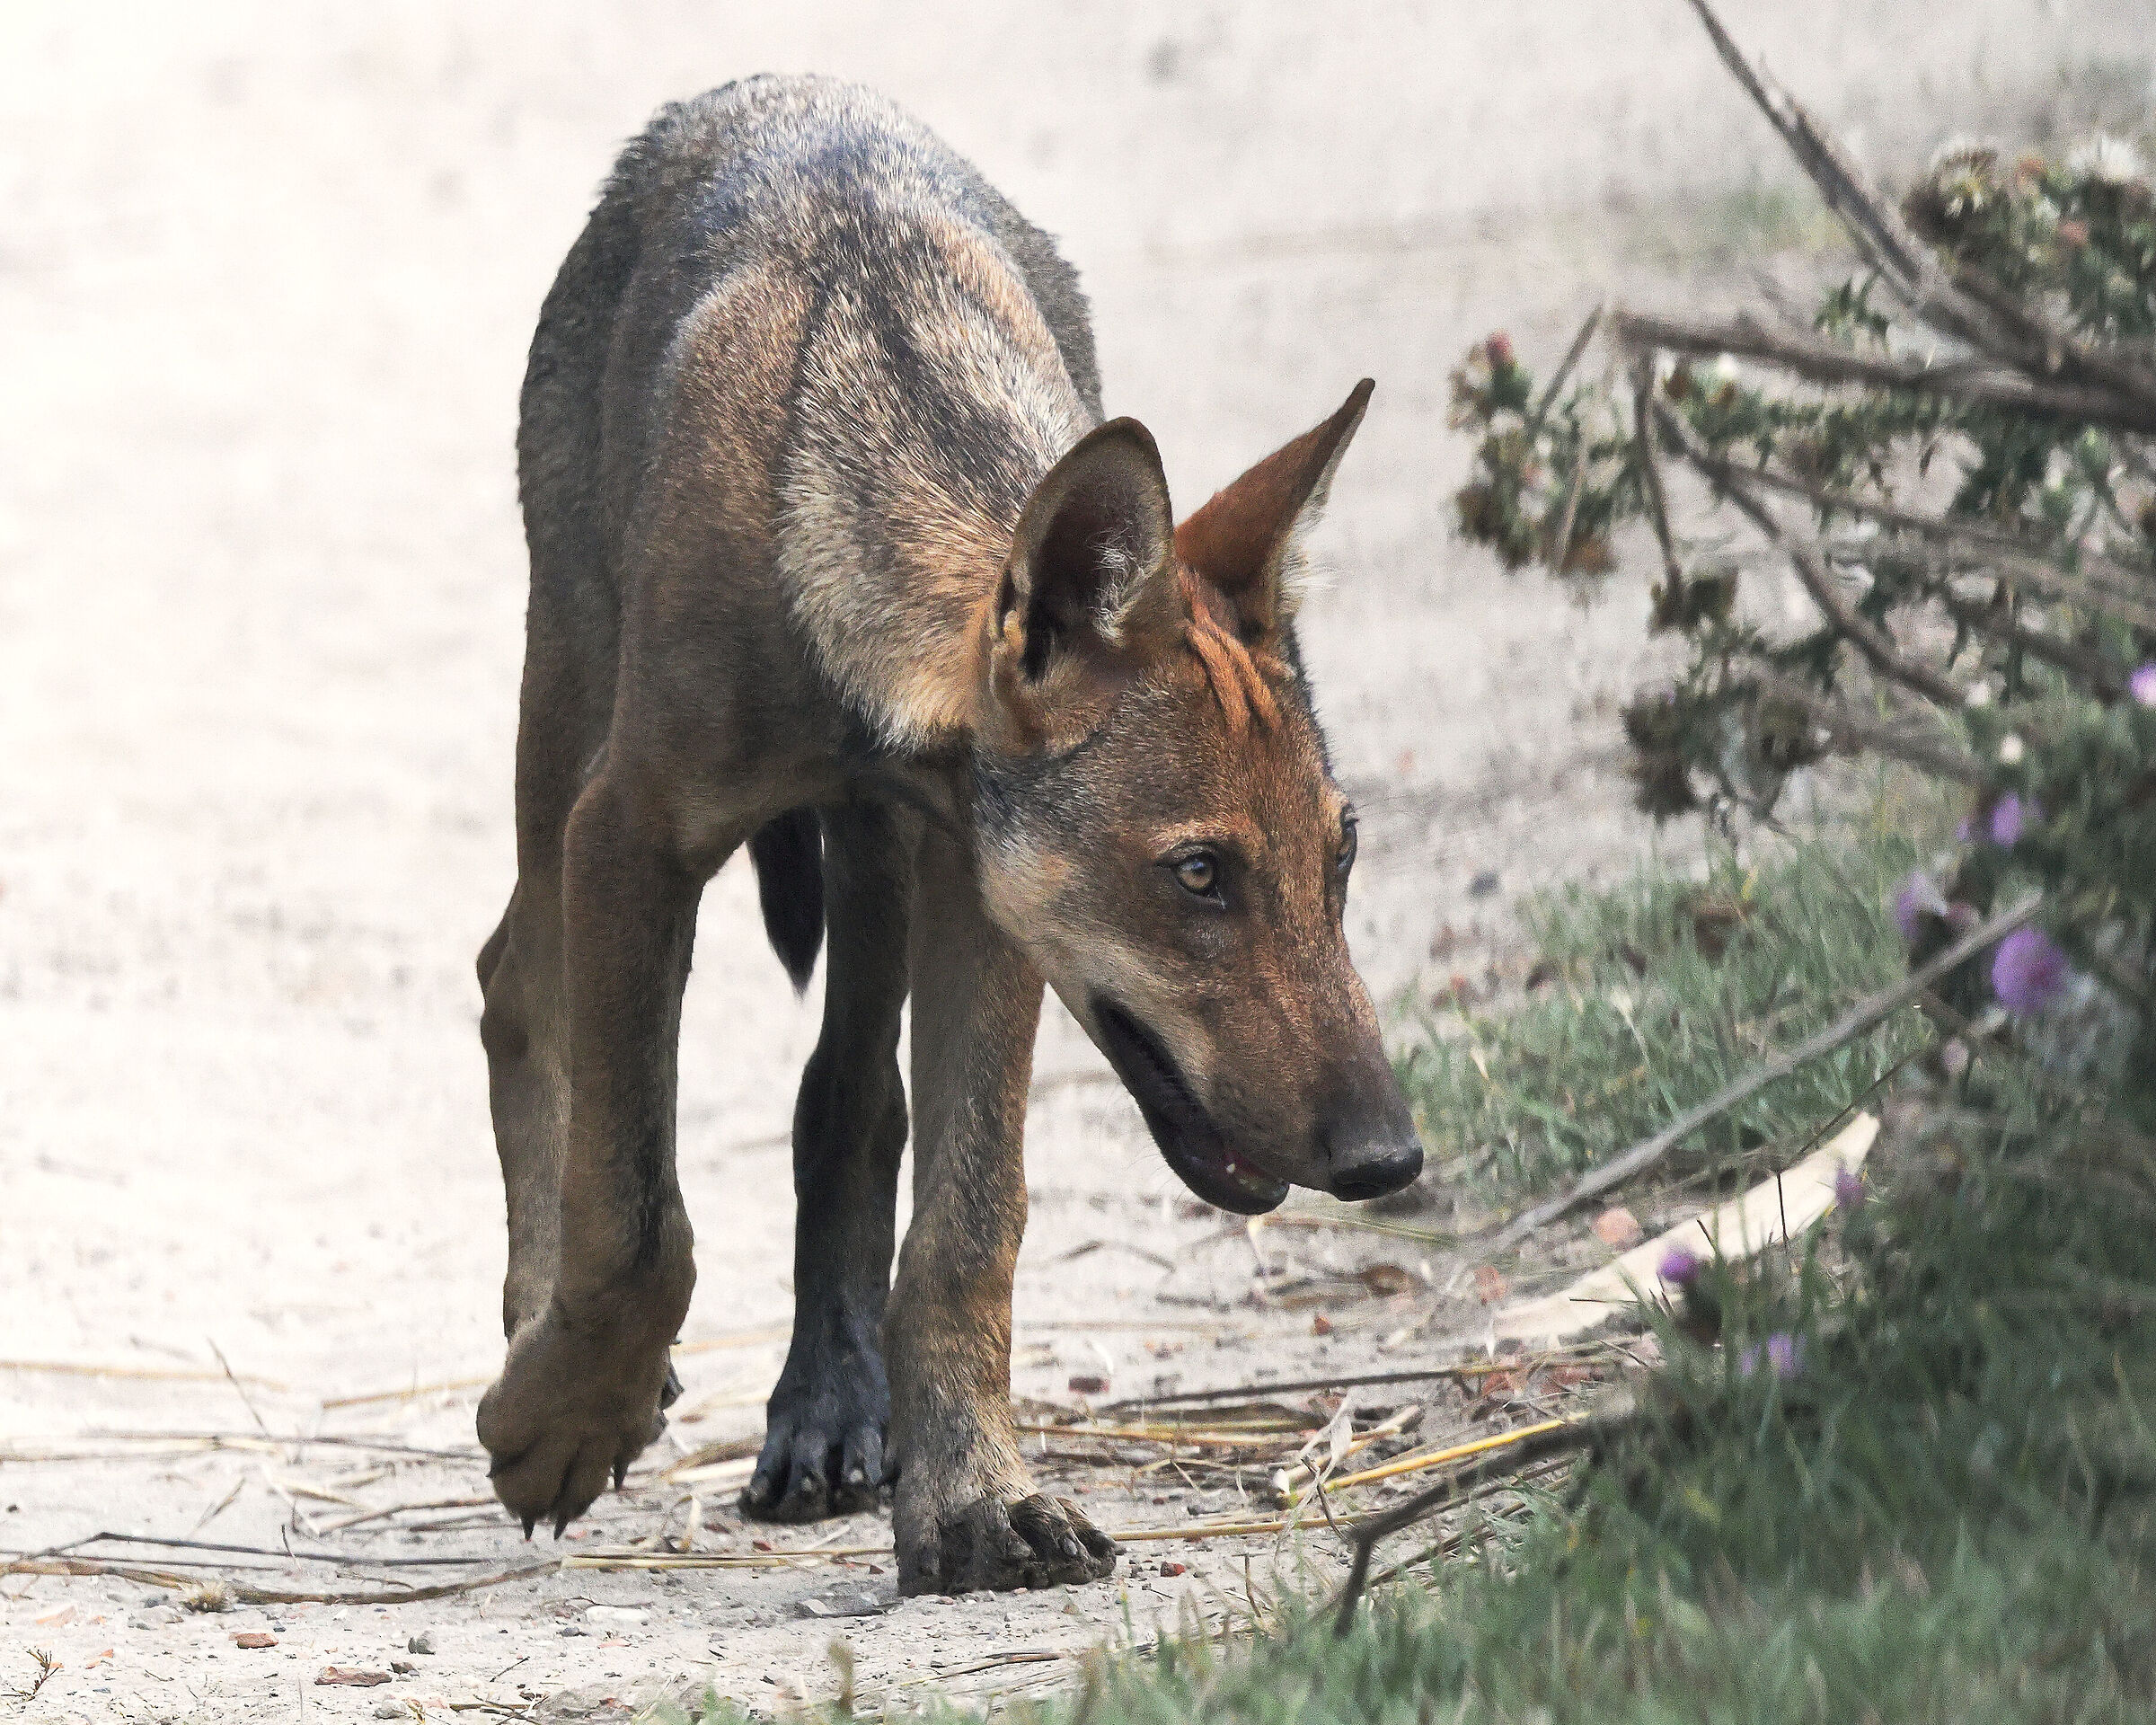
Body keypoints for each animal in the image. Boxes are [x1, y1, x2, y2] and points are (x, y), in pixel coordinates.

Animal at [473, 74, 1425, 1596]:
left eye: (1340, 864)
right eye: (1200, 876)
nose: (1392, 1161)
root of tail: (760, 89)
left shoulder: (986, 905)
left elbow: (968, 1230)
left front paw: (974, 1501)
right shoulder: (632, 843)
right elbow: (635, 1221)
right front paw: (563, 1418)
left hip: (880, 874)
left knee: (850, 1101)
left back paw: (831, 1415)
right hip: (563, 716)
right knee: (517, 986)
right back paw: (538, 1330)